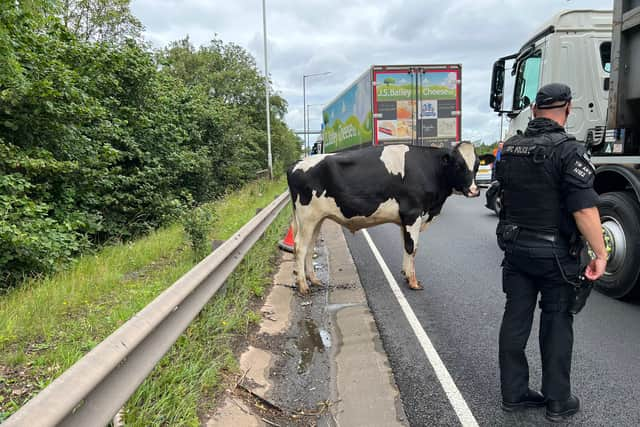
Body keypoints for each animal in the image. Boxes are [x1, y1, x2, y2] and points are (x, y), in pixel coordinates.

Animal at [286, 142, 480, 296]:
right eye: (458, 165)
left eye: (477, 165)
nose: (474, 190)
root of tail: (296, 164)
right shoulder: (413, 213)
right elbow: (412, 248)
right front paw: (413, 282)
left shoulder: (405, 219)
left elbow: (406, 245)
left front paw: (406, 274)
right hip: (307, 217)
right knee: (300, 247)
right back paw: (303, 286)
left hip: (316, 219)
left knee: (310, 247)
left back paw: (314, 280)